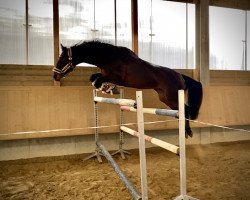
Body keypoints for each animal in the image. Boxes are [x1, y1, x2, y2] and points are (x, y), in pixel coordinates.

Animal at [53, 40, 203, 138]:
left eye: (62, 59)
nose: (55, 76)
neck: (110, 57)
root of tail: (180, 76)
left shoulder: (116, 77)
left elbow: (98, 80)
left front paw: (106, 88)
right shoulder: (105, 75)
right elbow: (94, 78)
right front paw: (107, 88)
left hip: (172, 97)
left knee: (186, 109)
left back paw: (187, 132)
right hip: (165, 98)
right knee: (182, 110)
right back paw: (184, 130)